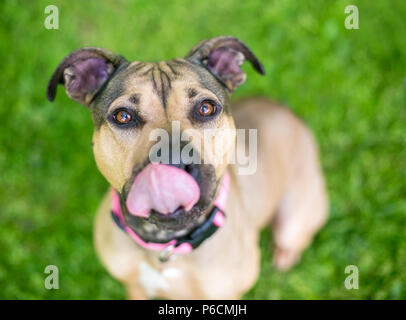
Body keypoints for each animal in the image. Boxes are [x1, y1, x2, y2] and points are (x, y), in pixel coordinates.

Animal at [46, 36, 326, 298]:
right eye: (123, 116)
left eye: (206, 108)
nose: (173, 162)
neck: (166, 246)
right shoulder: (134, 286)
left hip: (296, 219)